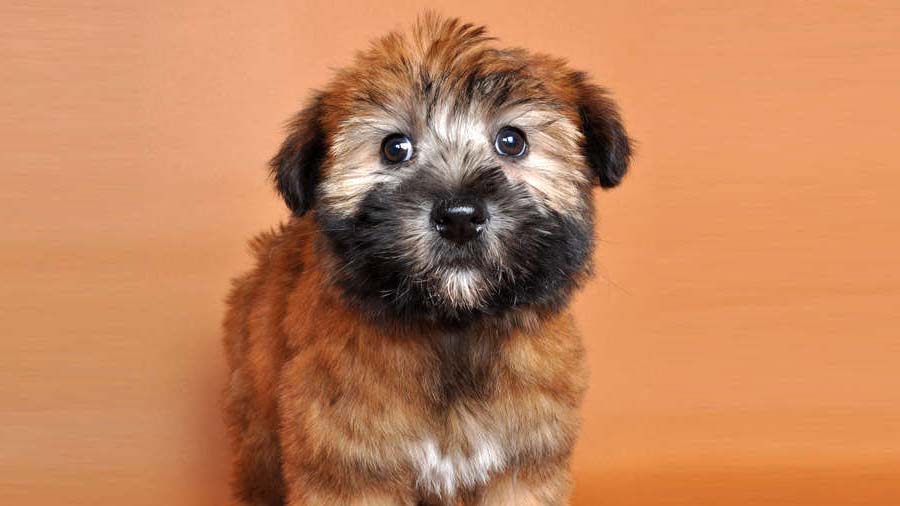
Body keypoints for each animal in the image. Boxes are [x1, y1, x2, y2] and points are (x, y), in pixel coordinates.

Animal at [225, 13, 632, 504]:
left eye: (511, 142)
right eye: (394, 148)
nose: (459, 218)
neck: (452, 330)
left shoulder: (524, 464)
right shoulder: (349, 467)